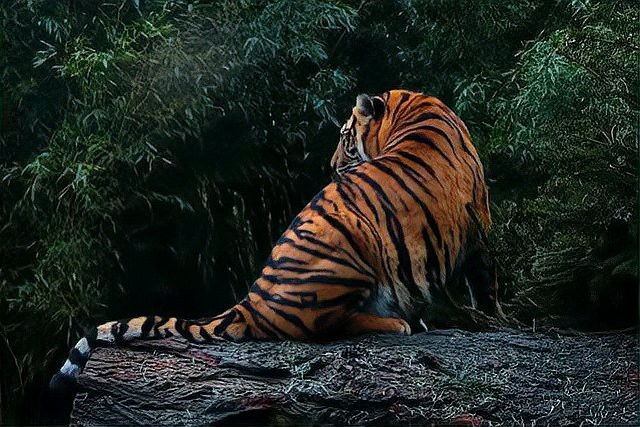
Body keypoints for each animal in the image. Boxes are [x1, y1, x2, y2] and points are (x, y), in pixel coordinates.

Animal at [50, 89, 501, 390]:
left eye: (344, 139)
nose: (332, 166)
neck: (416, 108)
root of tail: (250, 305)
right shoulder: (478, 222)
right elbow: (485, 283)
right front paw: (494, 321)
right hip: (352, 239)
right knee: (324, 328)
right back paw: (398, 322)